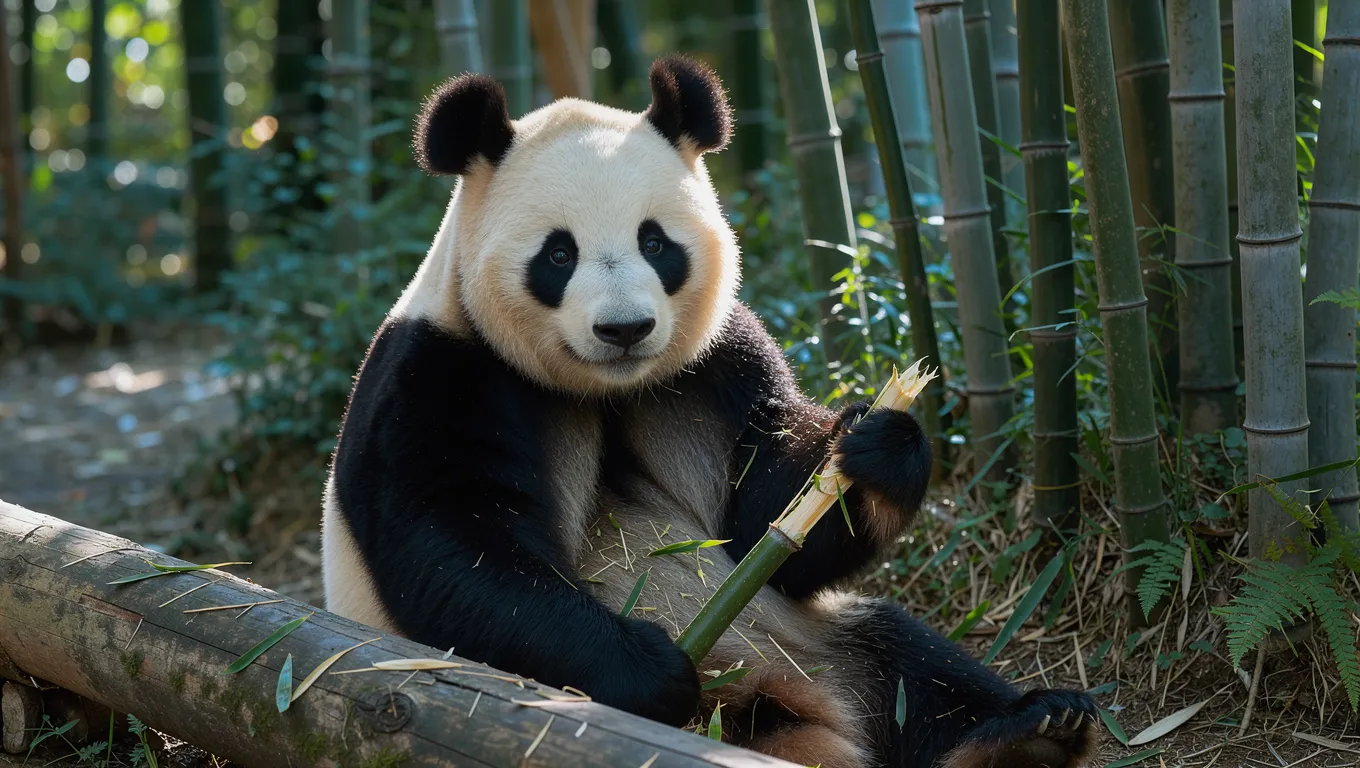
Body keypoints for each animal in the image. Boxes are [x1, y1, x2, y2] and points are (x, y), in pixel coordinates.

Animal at [321, 55, 1098, 768]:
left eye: (655, 242)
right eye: (558, 255)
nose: (625, 329)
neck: (607, 385)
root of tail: (788, 711)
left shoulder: (716, 364)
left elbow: (763, 527)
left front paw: (877, 445)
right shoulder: (438, 374)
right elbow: (454, 547)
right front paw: (647, 667)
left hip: (815, 640)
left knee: (910, 665)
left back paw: (1030, 730)